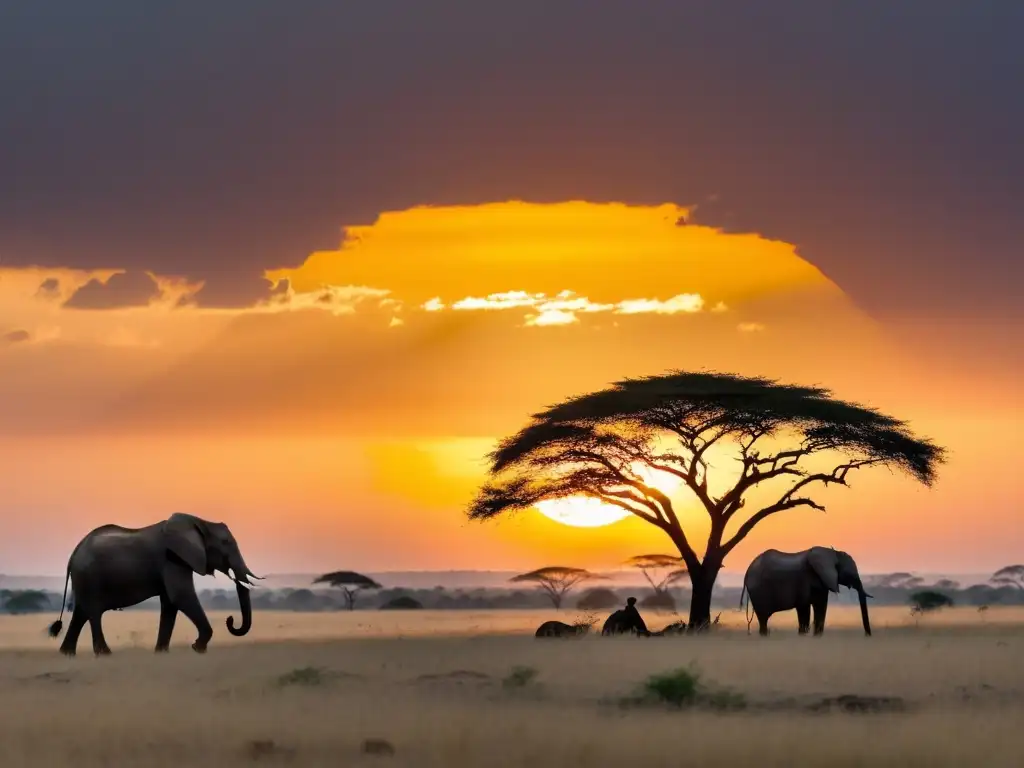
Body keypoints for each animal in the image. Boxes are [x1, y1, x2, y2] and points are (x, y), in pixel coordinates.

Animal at [47, 513, 262, 656]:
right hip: (90, 577)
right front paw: (197, 648)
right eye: (226, 543)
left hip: (84, 579)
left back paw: (67, 654)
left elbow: (170, 603)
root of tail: (73, 554)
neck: (199, 521)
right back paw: (104, 654)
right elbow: (181, 596)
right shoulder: (172, 559)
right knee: (93, 612)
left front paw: (161, 652)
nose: (230, 619)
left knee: (81, 613)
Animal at [740, 546, 873, 637]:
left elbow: (820, 607)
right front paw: (805, 636)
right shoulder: (804, 580)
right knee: (763, 618)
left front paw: (816, 637)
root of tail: (747, 572)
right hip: (759, 592)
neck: (832, 553)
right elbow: (804, 608)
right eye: (850, 573)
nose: (867, 635)